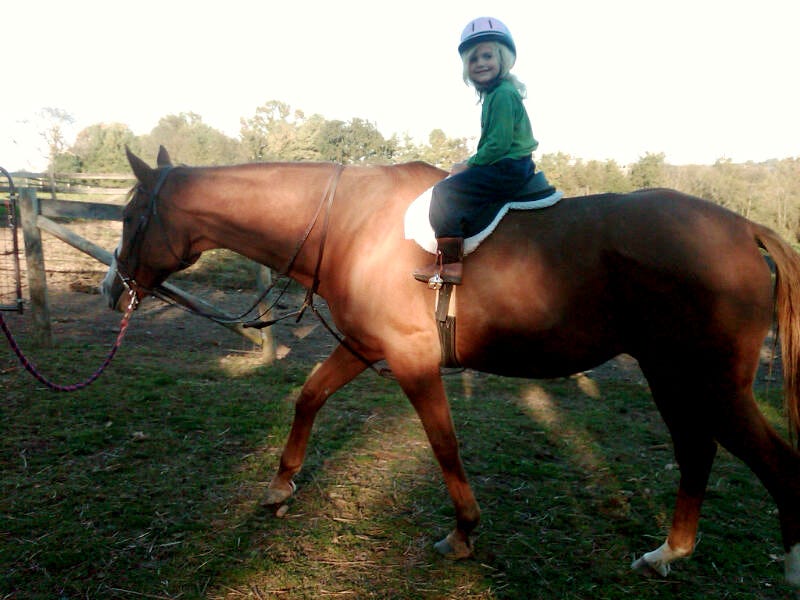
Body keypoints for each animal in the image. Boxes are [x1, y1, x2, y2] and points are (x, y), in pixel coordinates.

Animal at [101, 148, 800, 584]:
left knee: (777, 464)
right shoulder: (364, 345)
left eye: (133, 216)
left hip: (709, 384)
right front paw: (280, 487)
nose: (112, 287)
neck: (349, 224)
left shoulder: (413, 362)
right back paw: (665, 555)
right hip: (674, 378)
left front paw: (463, 532)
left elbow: (443, 443)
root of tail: (744, 228)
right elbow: (309, 396)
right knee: (697, 453)